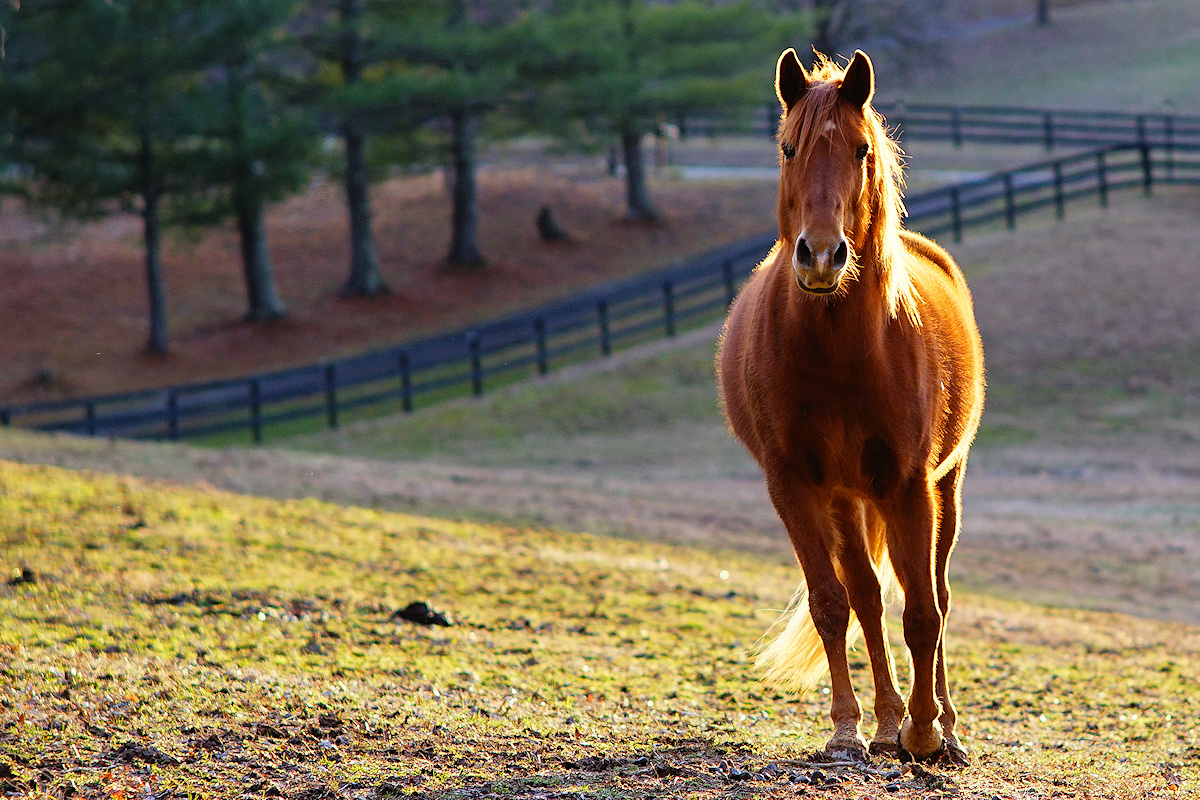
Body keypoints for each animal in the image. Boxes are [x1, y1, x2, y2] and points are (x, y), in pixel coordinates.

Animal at [710, 47, 984, 767]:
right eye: (787, 148)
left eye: (861, 149)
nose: (822, 256)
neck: (839, 353)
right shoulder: (793, 484)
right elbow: (835, 603)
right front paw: (846, 731)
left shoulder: (911, 484)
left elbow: (922, 610)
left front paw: (926, 732)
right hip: (844, 496)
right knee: (864, 594)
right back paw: (885, 725)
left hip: (945, 485)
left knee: (936, 592)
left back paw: (942, 728)